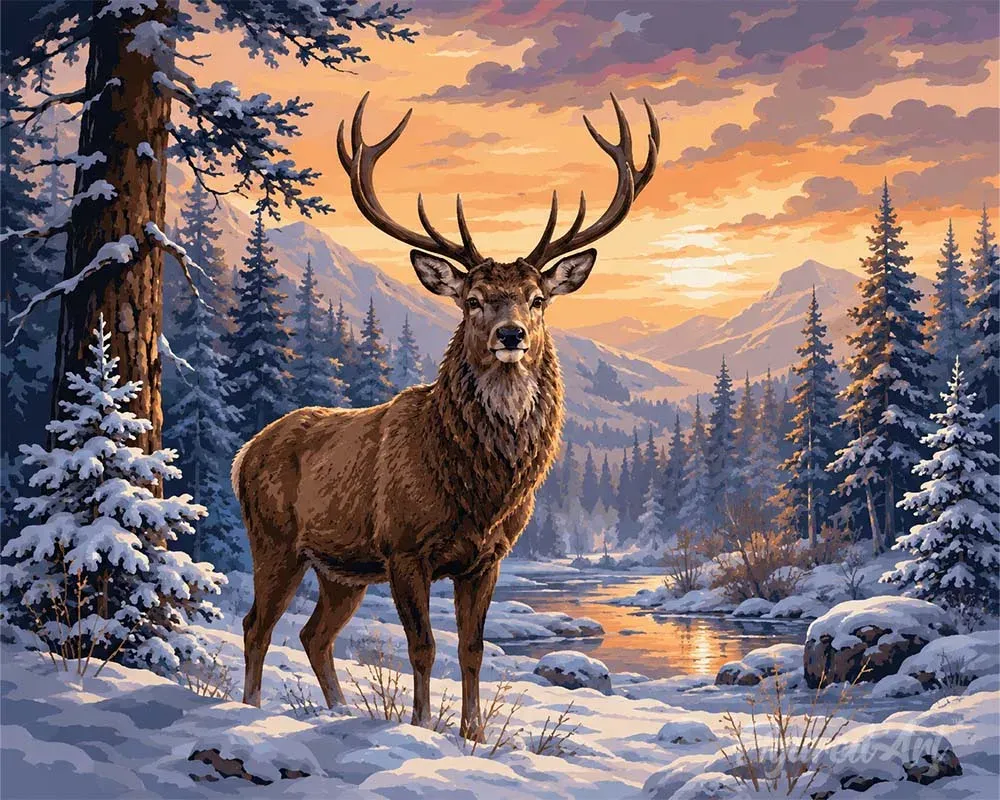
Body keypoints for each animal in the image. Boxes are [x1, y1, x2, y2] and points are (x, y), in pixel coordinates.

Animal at [232, 92, 658, 739]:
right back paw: (252, 707)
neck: (480, 488)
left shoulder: (486, 557)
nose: (511, 335)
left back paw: (338, 711)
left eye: (538, 298)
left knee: (313, 635)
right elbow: (423, 648)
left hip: (340, 569)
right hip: (275, 538)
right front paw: (421, 725)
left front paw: (472, 734)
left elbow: (471, 649)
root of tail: (242, 454)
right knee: (258, 624)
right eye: (473, 300)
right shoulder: (405, 547)